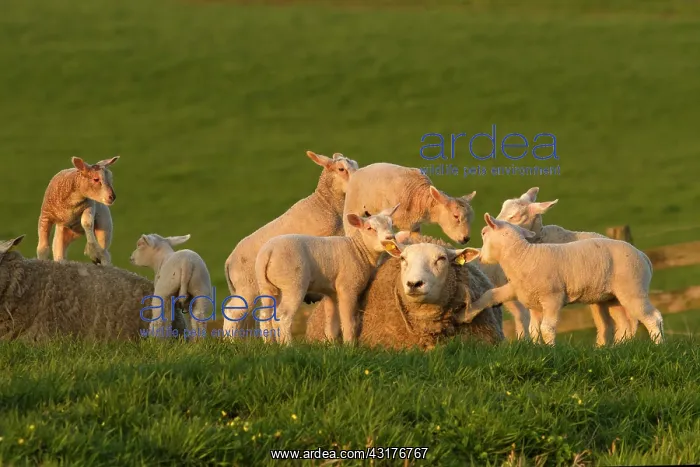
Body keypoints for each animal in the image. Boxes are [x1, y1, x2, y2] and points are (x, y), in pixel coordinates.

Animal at [254, 204, 400, 345]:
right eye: (370, 228)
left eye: (391, 224)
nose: (390, 237)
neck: (358, 249)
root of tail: (268, 251)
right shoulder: (347, 288)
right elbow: (348, 321)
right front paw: (349, 345)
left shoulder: (332, 292)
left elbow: (332, 322)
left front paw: (332, 344)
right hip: (293, 283)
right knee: (283, 315)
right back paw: (287, 345)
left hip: (266, 286)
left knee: (265, 315)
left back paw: (270, 344)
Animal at [342, 162, 476, 245]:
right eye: (456, 216)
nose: (466, 239)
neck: (419, 199)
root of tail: (357, 171)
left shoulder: (415, 227)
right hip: (352, 205)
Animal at [458, 213, 665, 346]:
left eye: (484, 233)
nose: (480, 257)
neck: (523, 257)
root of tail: (643, 255)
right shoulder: (527, 297)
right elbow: (529, 325)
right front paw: (465, 315)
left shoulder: (553, 298)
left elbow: (546, 328)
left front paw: (550, 351)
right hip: (613, 297)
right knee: (625, 324)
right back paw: (619, 348)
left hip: (633, 289)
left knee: (653, 318)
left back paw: (658, 346)